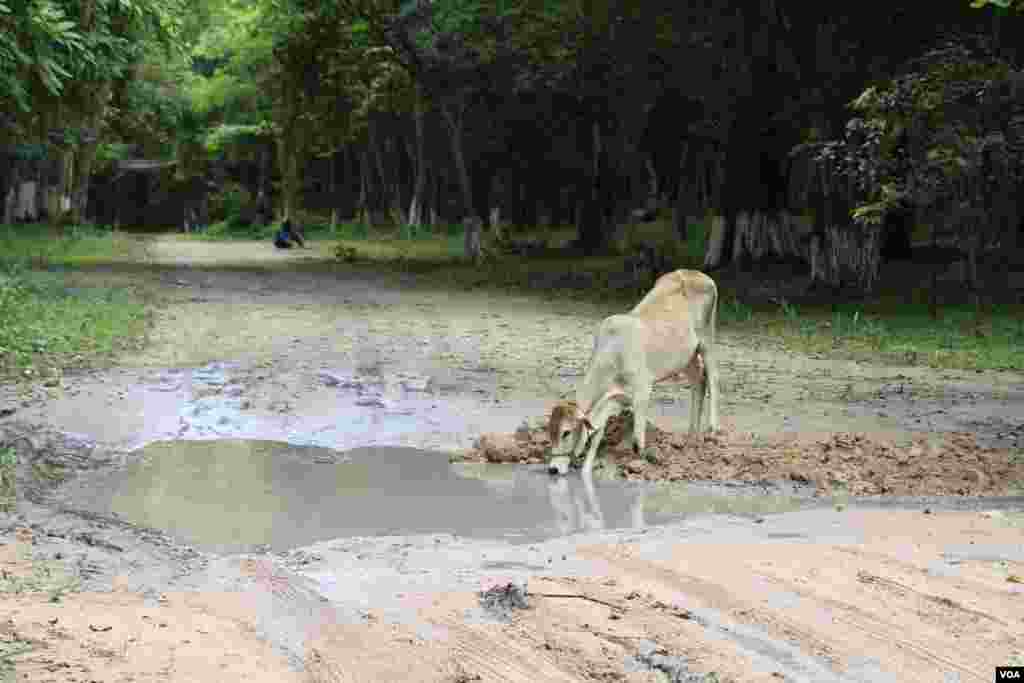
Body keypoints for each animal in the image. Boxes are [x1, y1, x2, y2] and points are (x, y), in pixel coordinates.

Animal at [544, 266, 720, 475]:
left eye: (566, 432)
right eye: (550, 431)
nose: (553, 469)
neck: (614, 352)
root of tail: (695, 273)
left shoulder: (642, 390)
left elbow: (637, 439)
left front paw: (643, 460)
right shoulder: (615, 397)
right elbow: (599, 429)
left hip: (707, 341)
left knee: (713, 379)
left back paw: (712, 430)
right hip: (687, 358)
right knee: (698, 381)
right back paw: (691, 433)